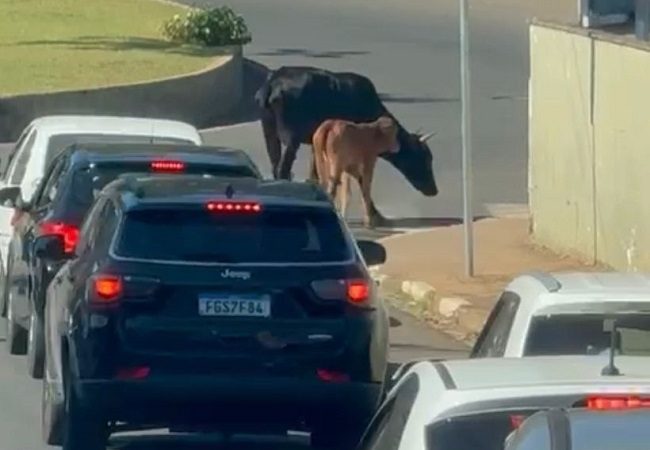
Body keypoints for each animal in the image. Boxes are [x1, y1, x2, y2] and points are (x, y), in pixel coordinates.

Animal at [253, 65, 436, 197]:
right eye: (423, 158)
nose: (433, 190)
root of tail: (271, 85)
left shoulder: (315, 140)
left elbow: (315, 171)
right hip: (291, 135)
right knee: (282, 168)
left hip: (268, 127)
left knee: (274, 162)